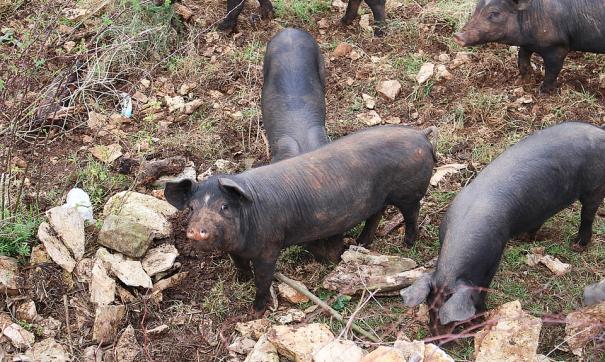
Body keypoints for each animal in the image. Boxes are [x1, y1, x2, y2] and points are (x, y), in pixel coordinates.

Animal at [165, 126, 436, 312]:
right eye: (191, 208)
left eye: (224, 206)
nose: (196, 229)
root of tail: (421, 135)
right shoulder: (236, 250)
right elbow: (239, 265)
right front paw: (240, 281)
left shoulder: (269, 246)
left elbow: (263, 278)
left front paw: (256, 311)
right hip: (378, 199)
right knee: (375, 215)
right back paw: (359, 244)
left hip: (409, 192)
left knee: (412, 213)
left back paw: (407, 244)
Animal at [402, 121, 604, 334]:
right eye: (429, 307)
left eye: (450, 320)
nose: (436, 337)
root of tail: (600, 132)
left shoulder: (494, 256)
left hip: (595, 186)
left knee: (588, 214)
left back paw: (578, 245)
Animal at [452, 0, 604, 92]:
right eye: (476, 9)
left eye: (494, 13)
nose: (457, 36)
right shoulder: (527, 44)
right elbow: (522, 57)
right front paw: (525, 78)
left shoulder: (558, 47)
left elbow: (552, 70)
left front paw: (543, 92)